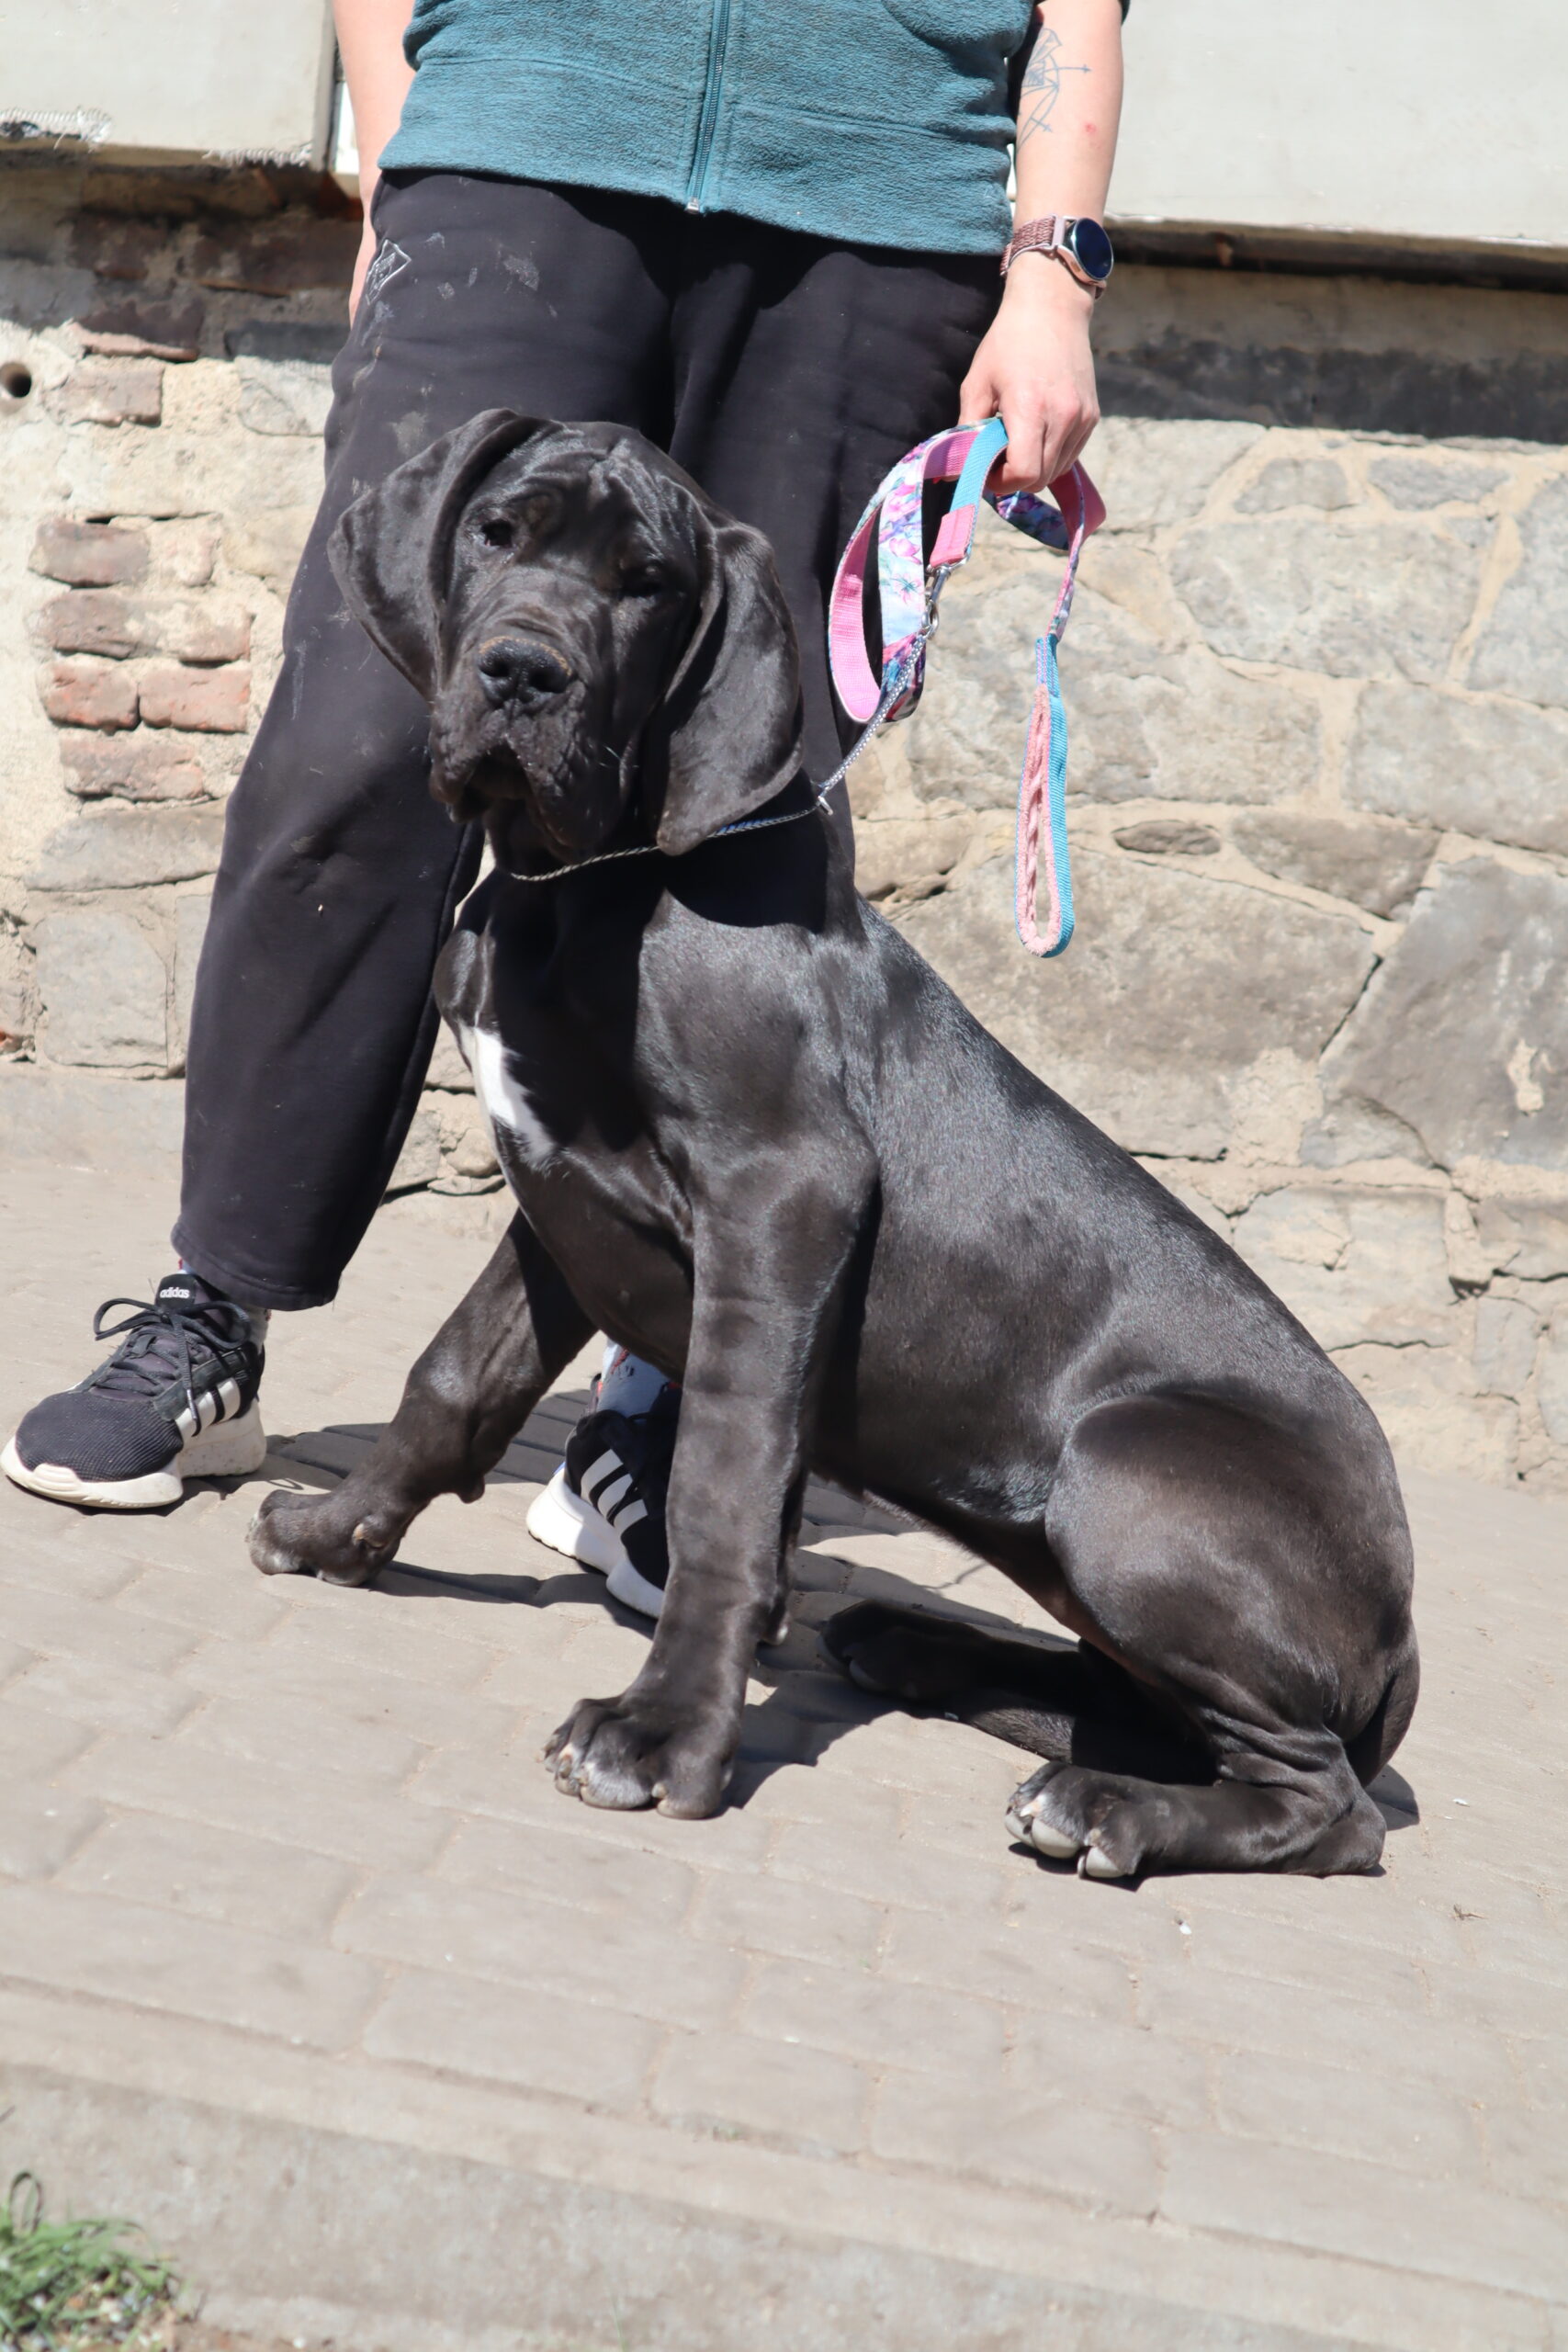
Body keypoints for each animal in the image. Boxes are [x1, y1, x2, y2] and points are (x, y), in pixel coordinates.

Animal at [248, 411, 1418, 1880]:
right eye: (496, 532)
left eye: (646, 584)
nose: (522, 670)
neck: (584, 884)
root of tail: (1403, 1624)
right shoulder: (564, 1199)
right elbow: (454, 1377)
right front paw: (338, 1530)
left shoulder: (782, 1193)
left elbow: (724, 1482)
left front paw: (663, 1734)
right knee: (1140, 1706)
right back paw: (925, 1652)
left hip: (1124, 1473)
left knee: (1327, 1804)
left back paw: (1109, 1810)